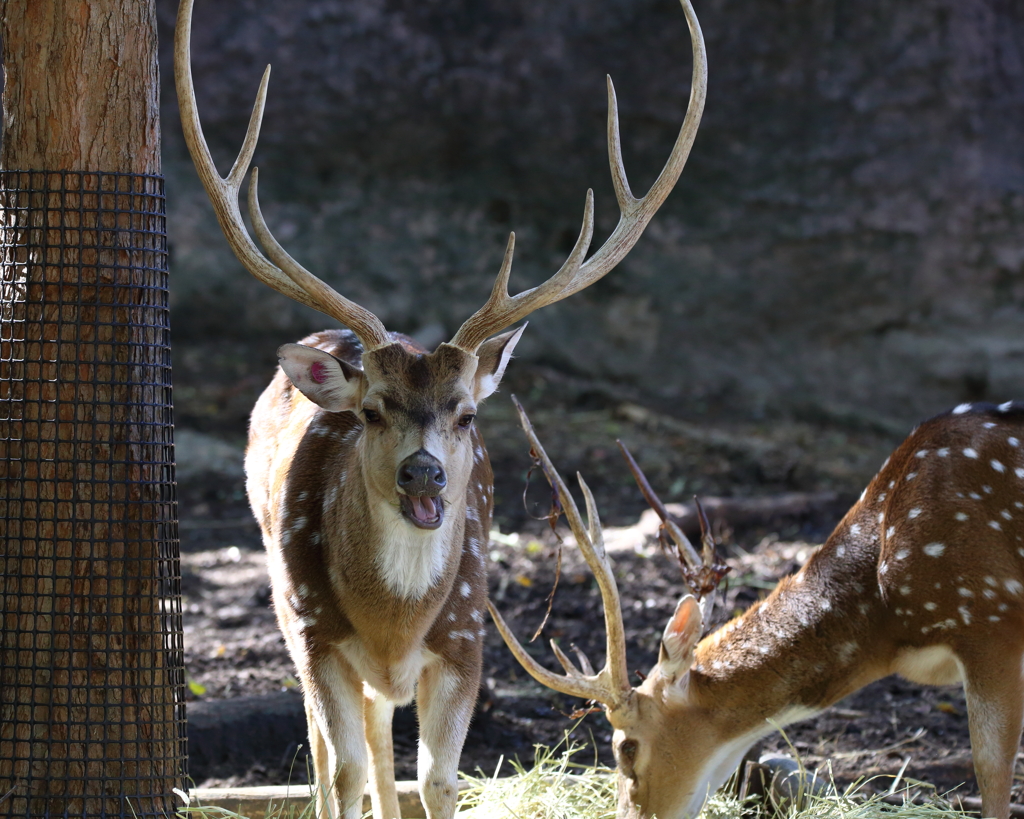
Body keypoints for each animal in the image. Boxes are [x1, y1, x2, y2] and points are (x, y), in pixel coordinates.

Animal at [174, 3, 704, 814]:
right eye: (371, 410)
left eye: (464, 412)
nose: (423, 474)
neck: (393, 624)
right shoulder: (314, 632)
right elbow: (342, 766)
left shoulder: (465, 637)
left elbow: (435, 776)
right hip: (282, 598)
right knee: (334, 749)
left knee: (379, 738)